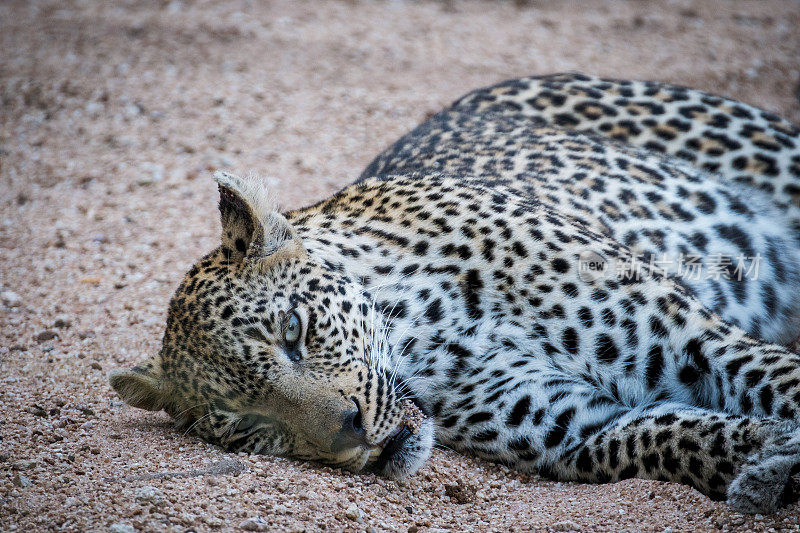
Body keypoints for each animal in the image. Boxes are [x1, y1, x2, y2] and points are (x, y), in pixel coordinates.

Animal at [109, 72, 800, 512]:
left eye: (294, 332)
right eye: (247, 428)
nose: (349, 435)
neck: (429, 330)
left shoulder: (694, 339)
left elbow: (778, 380)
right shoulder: (582, 429)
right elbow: (679, 436)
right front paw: (767, 459)